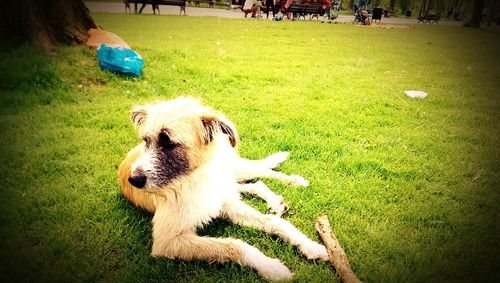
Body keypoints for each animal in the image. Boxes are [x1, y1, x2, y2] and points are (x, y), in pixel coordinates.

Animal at [117, 97, 328, 282]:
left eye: (168, 141)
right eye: (146, 141)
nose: (133, 180)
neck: (196, 178)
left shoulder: (225, 205)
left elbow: (275, 222)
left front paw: (310, 245)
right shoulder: (167, 241)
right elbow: (233, 244)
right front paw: (271, 266)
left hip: (233, 169)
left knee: (262, 172)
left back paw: (294, 181)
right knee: (253, 185)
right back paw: (275, 201)